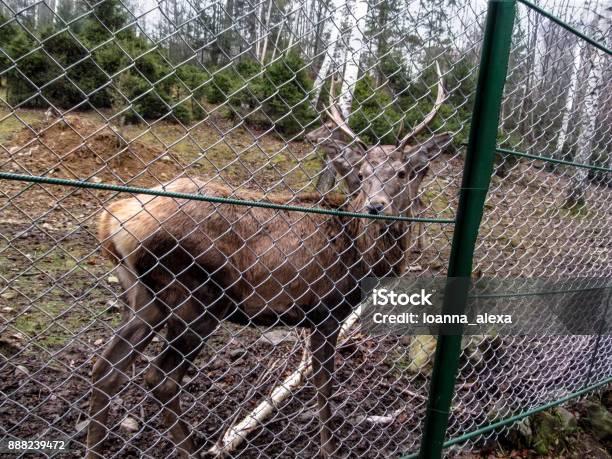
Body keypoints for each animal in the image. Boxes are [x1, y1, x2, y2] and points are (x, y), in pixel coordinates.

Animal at [304, 61, 444, 253]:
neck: (349, 178)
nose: (375, 206)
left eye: (328, 126)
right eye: (361, 174)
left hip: (414, 186)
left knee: (418, 209)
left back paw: (417, 246)